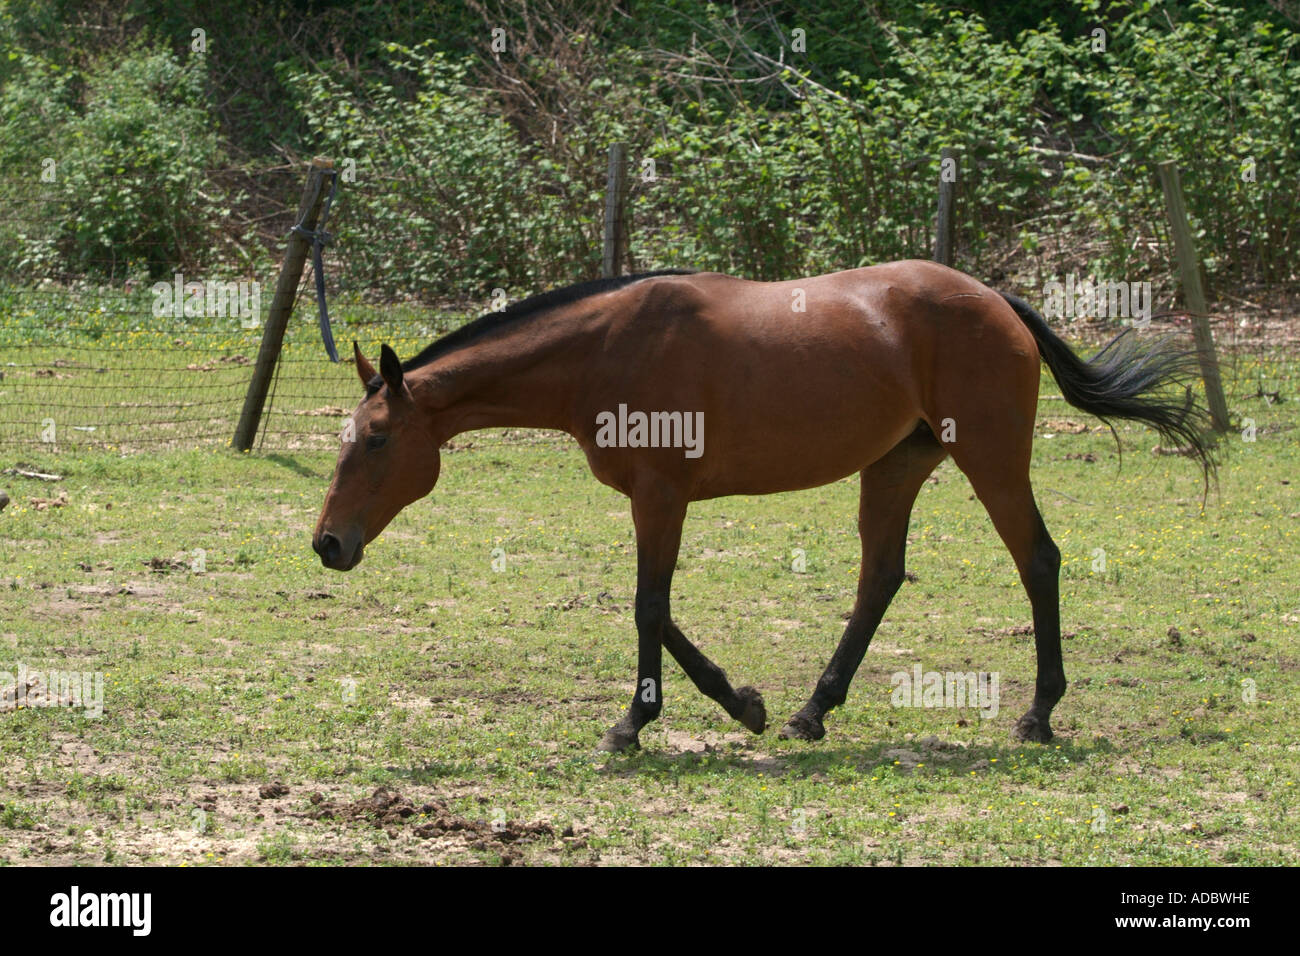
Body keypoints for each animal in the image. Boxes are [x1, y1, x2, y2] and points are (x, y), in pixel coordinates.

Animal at [312, 264, 1206, 754]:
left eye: (378, 439)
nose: (328, 544)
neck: (603, 350)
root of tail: (993, 300)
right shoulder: (659, 499)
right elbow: (660, 610)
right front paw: (744, 704)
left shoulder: (661, 496)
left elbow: (648, 607)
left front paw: (635, 725)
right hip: (895, 467)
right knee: (880, 580)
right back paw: (813, 711)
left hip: (990, 459)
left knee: (1037, 562)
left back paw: (1039, 714)